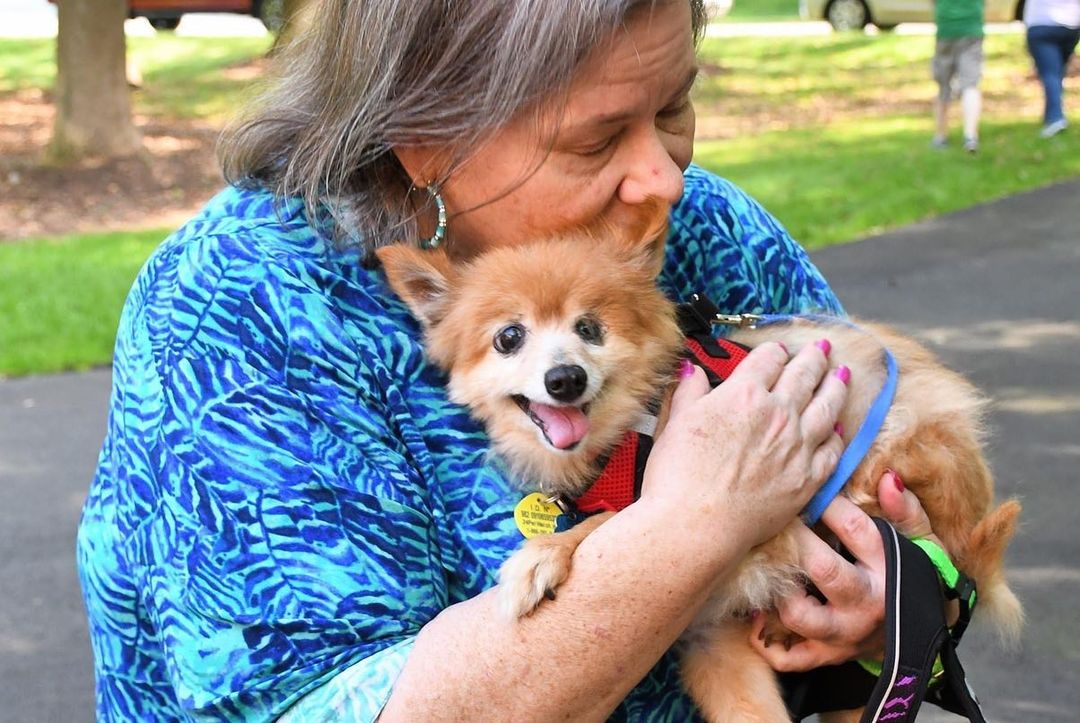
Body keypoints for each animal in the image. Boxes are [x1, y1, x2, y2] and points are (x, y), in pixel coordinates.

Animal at [378, 205, 1019, 717]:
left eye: (590, 329)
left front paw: (540, 557)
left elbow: (604, 519)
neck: (625, 431)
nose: (565, 378)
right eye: (509, 337)